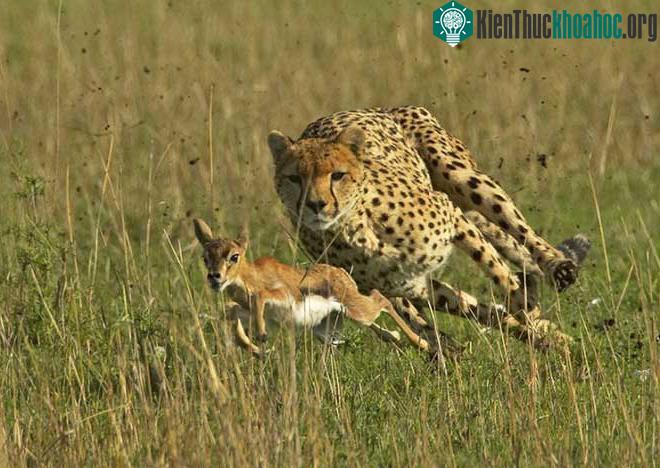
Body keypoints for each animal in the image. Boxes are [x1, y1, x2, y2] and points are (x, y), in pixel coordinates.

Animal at [266, 106, 589, 352]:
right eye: (294, 178)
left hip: (460, 175)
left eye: (337, 175)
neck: (356, 227)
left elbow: (497, 271)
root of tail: (386, 108)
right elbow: (476, 309)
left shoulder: (453, 217)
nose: (315, 204)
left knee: (521, 232)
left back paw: (557, 269)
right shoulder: (411, 284)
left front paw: (525, 304)